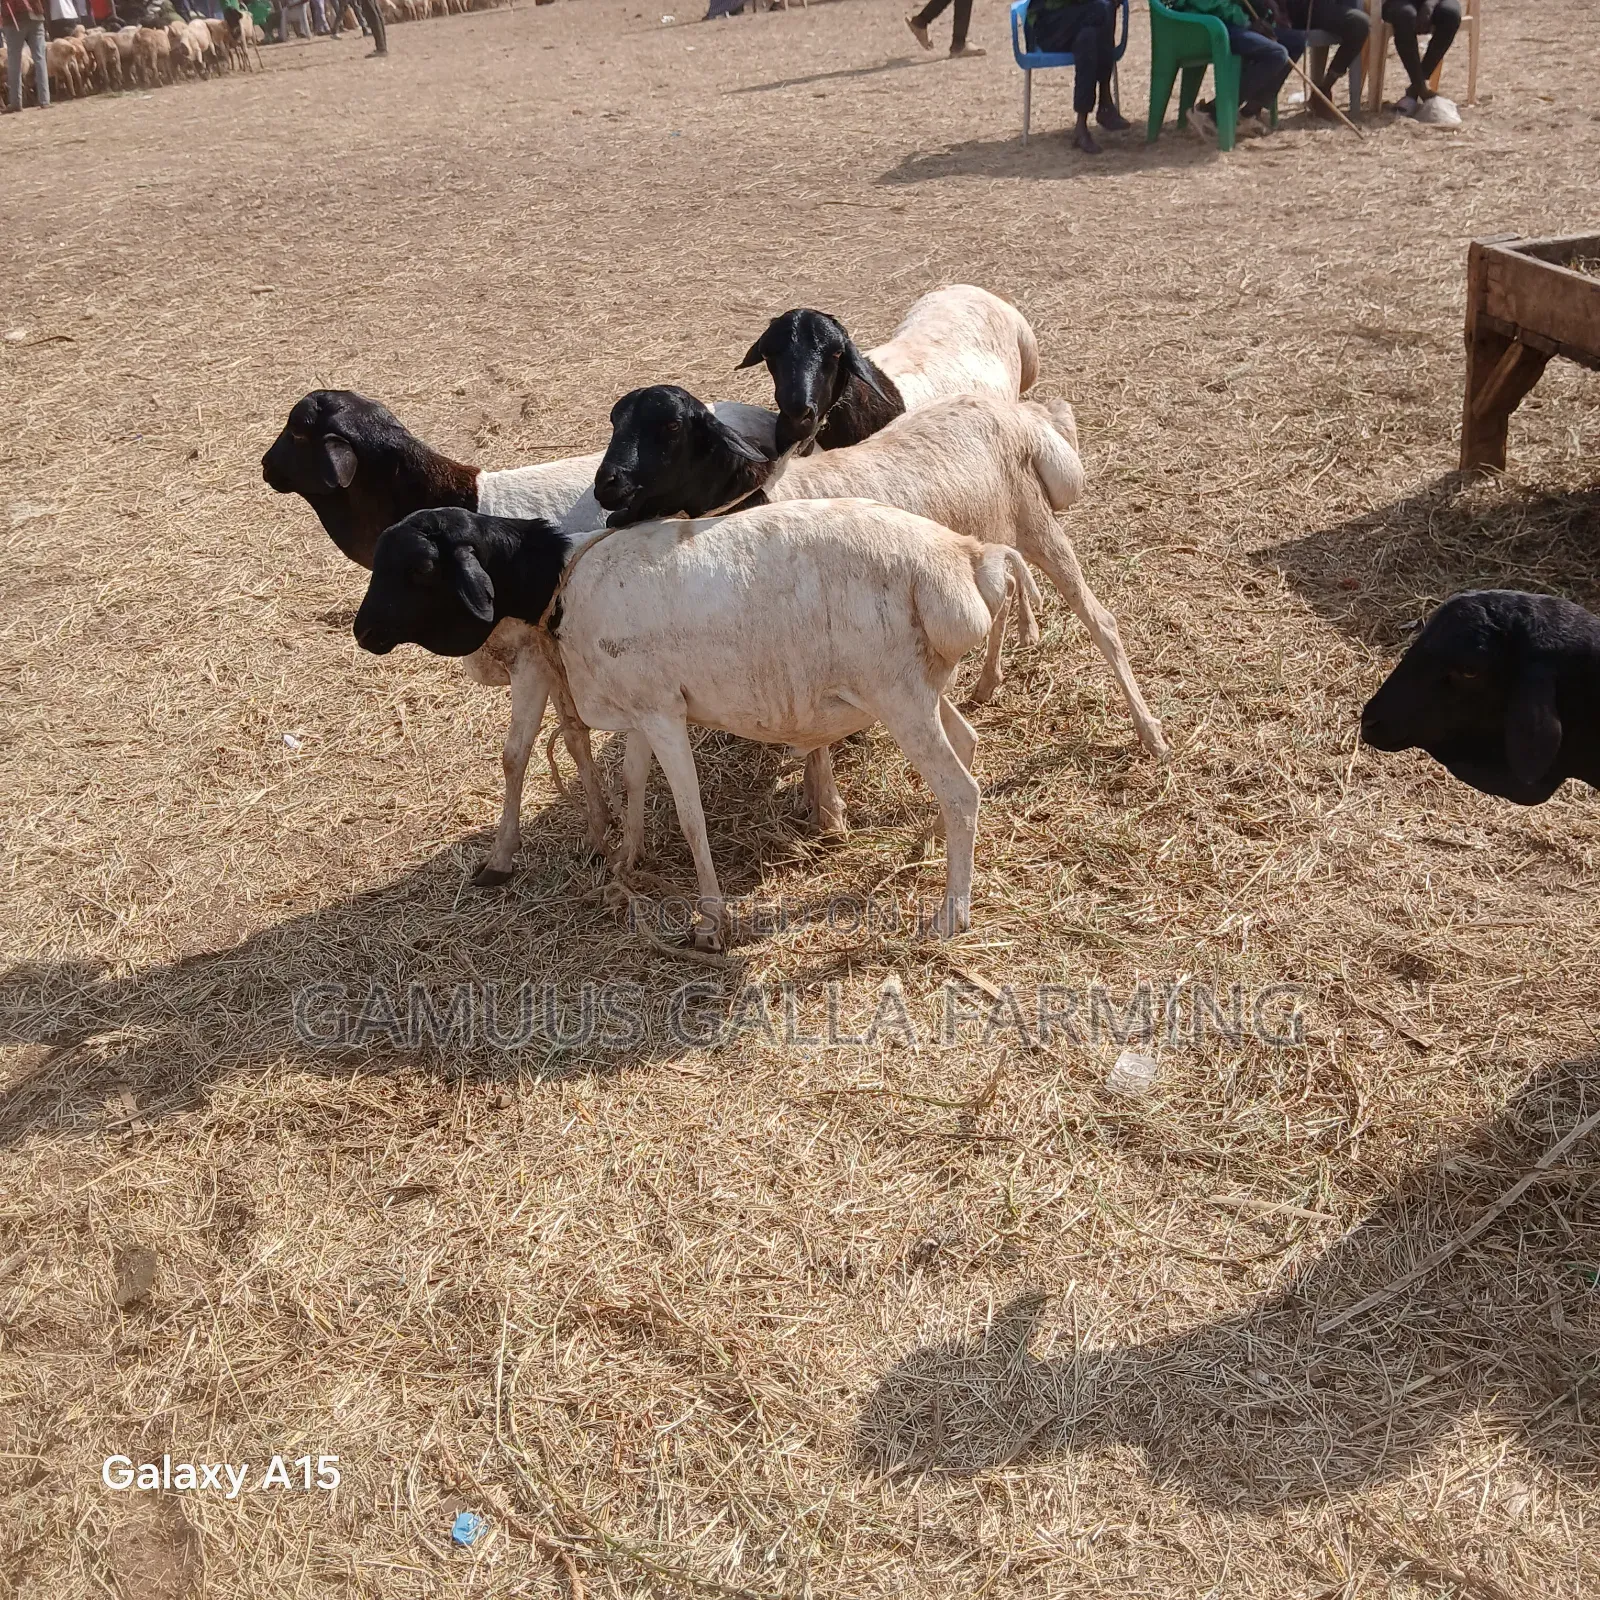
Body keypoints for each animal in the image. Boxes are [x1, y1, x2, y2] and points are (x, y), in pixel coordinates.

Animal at [352, 502, 1039, 945]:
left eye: (419, 569)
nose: (362, 632)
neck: (564, 578)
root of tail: (970, 556)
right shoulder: (639, 709)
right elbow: (631, 783)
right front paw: (624, 862)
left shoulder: (663, 711)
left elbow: (689, 816)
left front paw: (710, 921)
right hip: (915, 688)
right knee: (968, 744)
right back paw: (930, 843)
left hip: (897, 692)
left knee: (961, 789)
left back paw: (952, 913)